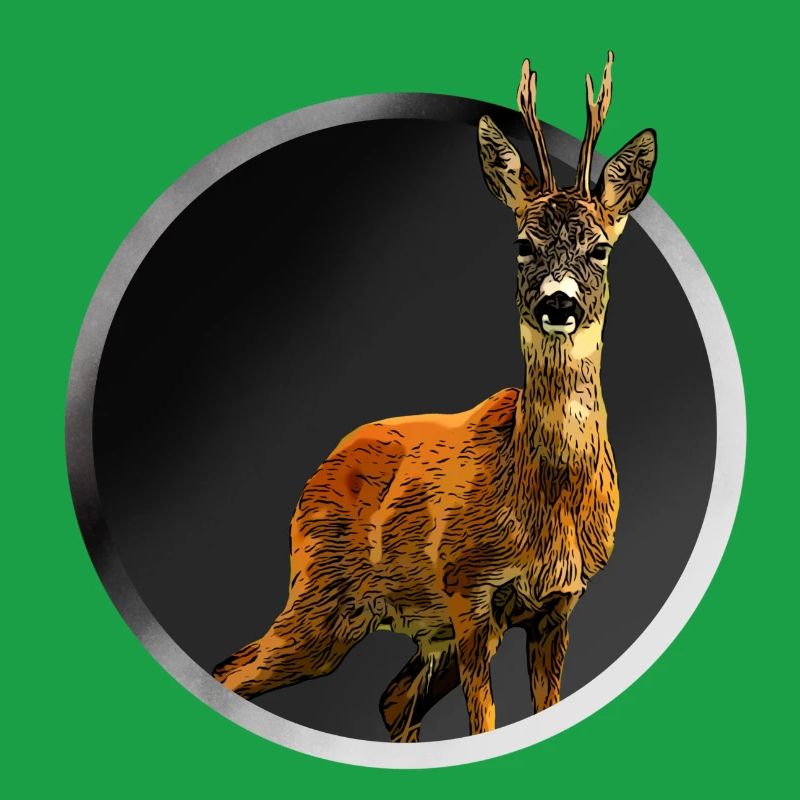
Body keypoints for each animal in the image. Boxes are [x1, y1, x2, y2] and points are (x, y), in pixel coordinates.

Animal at [212, 51, 656, 740]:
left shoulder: (557, 605)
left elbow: (543, 706)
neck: (542, 502)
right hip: (321, 595)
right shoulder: (468, 589)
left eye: (601, 248)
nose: (558, 304)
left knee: (390, 698)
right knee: (235, 670)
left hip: (410, 625)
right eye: (522, 243)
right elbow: (486, 723)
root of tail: (320, 469)